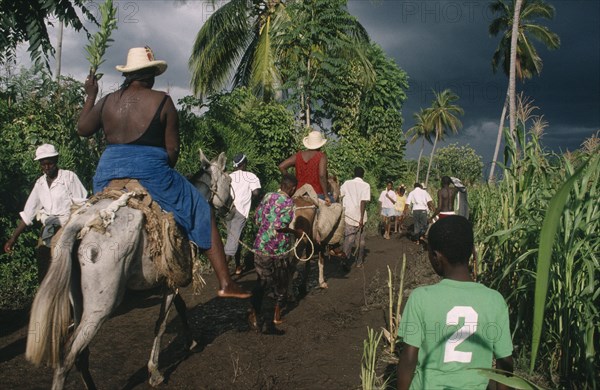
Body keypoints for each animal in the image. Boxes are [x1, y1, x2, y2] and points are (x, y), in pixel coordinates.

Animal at [24, 150, 230, 390]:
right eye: (229, 180)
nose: (230, 207)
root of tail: (81, 224)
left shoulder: (168, 278)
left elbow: (179, 307)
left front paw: (191, 341)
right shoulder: (172, 278)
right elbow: (161, 323)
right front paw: (155, 371)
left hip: (79, 302)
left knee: (80, 354)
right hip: (101, 306)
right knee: (67, 356)